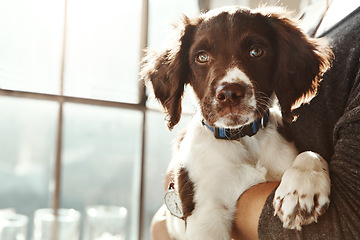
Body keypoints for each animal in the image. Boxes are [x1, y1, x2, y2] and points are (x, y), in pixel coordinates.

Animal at [142, 6, 334, 240]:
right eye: (201, 57)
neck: (241, 137)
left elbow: (310, 154)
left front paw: (301, 191)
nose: (229, 94)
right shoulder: (206, 213)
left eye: (256, 52)